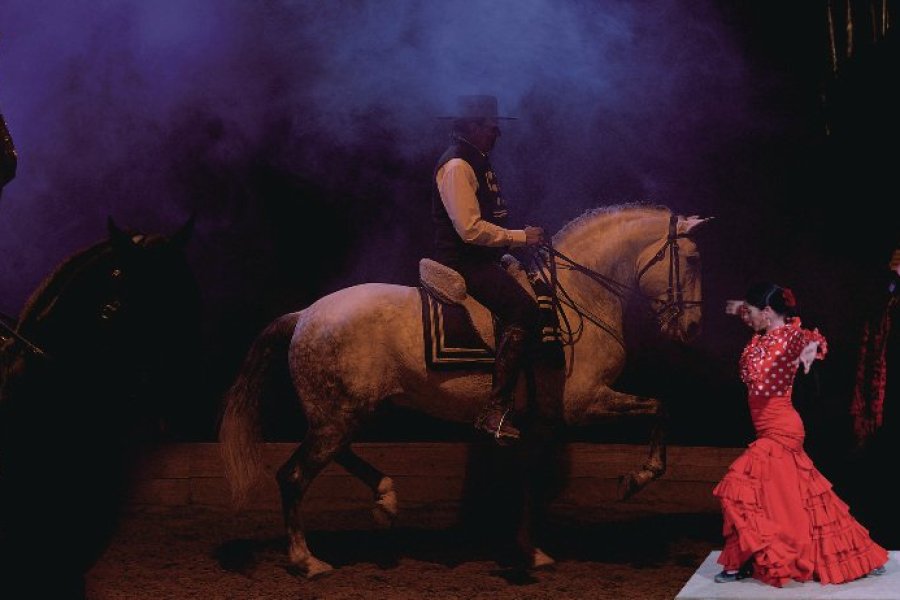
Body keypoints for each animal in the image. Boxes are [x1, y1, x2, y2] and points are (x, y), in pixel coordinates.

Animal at [216, 202, 712, 576]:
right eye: (691, 260)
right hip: (336, 418)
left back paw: (385, 498)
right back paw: (307, 561)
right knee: (294, 476)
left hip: (344, 414)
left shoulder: (543, 420)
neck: (576, 299)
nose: (692, 328)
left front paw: (530, 550)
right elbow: (660, 409)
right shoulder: (584, 403)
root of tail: (305, 315)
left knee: (337, 456)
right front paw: (635, 479)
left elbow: (529, 480)